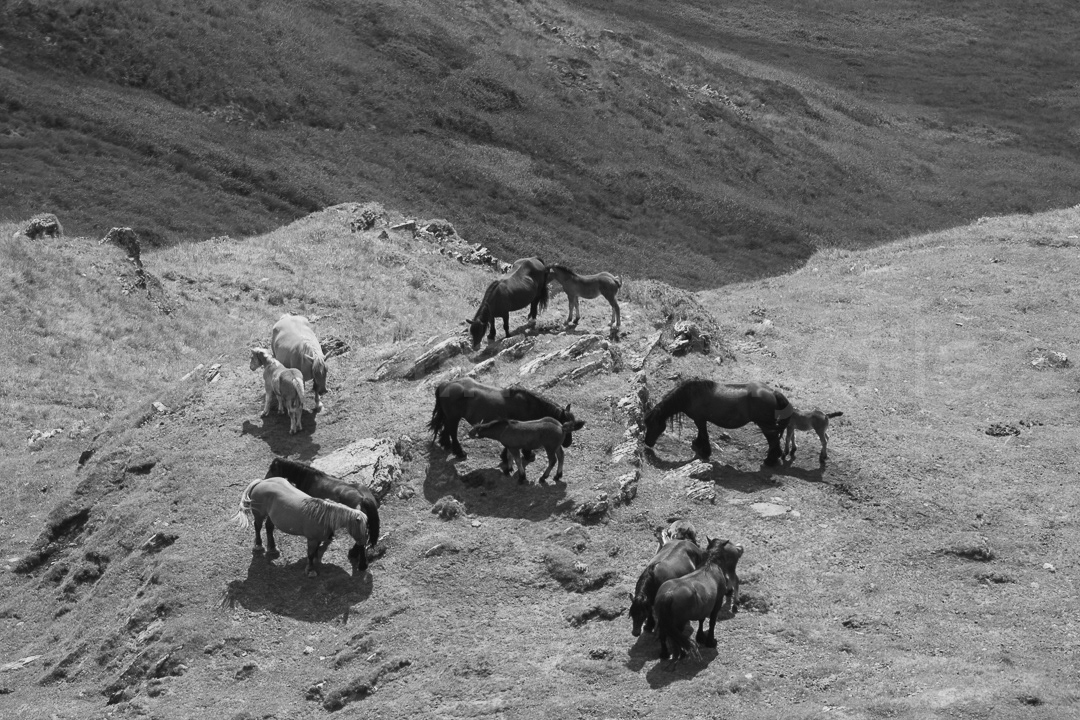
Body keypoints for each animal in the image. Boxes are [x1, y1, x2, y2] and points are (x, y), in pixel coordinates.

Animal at [232, 476, 368, 577]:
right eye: (360, 527)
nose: (363, 542)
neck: (322, 515)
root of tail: (261, 482)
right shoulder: (312, 539)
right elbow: (310, 553)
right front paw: (311, 570)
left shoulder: (317, 539)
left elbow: (315, 552)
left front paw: (314, 562)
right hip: (260, 514)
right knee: (257, 527)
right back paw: (258, 545)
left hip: (271, 516)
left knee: (269, 527)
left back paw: (272, 548)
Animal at [428, 377, 579, 467]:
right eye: (565, 426)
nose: (568, 443)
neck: (529, 405)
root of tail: (445, 384)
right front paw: (527, 455)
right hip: (454, 418)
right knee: (452, 433)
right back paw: (460, 452)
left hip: (449, 417)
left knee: (446, 430)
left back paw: (446, 444)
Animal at [642, 379, 792, 465]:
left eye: (653, 425)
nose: (647, 442)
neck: (689, 395)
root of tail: (773, 392)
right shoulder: (699, 420)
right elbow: (701, 434)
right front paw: (697, 444)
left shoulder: (700, 419)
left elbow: (704, 434)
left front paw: (705, 452)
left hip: (765, 426)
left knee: (773, 441)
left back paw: (770, 460)